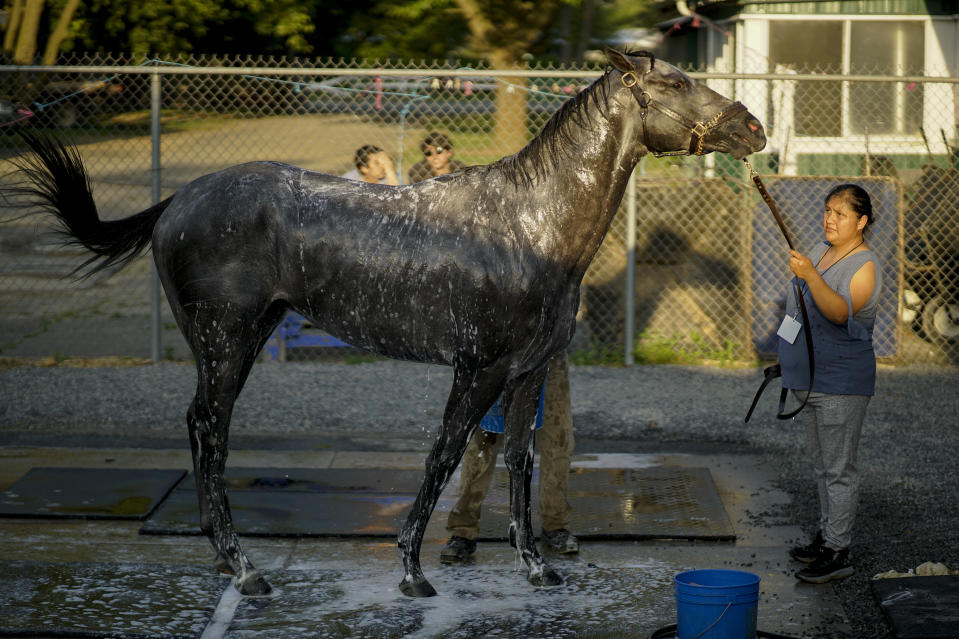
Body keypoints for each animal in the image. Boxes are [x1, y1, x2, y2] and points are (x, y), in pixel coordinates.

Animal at [11, 48, 764, 596]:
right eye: (676, 81)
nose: (751, 126)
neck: (529, 223)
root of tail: (177, 202)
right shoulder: (478, 367)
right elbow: (444, 454)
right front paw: (411, 569)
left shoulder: (528, 373)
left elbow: (519, 460)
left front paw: (537, 567)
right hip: (225, 343)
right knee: (208, 430)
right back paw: (245, 569)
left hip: (243, 340)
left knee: (202, 429)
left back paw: (227, 561)